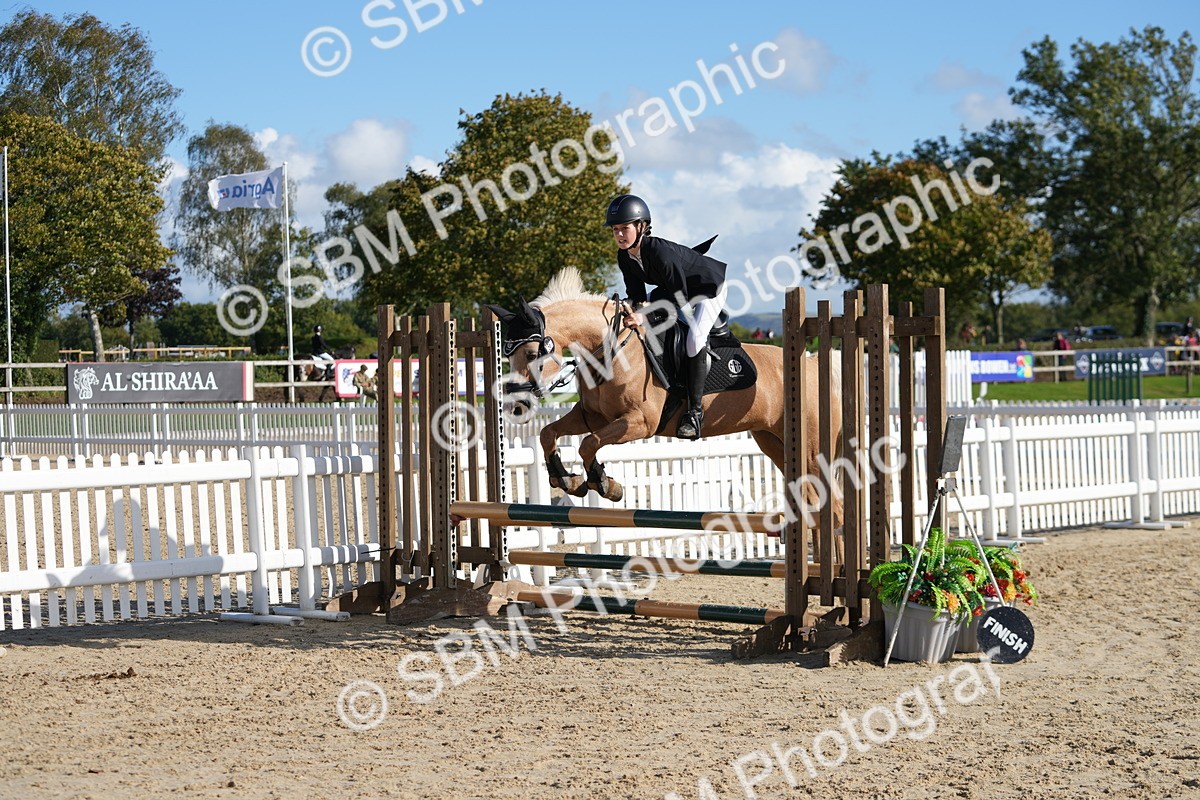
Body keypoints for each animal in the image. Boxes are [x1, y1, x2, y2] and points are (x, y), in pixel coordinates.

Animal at [486, 268, 842, 525]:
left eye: (533, 353)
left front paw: (604, 484)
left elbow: (588, 443)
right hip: (774, 442)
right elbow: (549, 434)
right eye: (506, 354)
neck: (612, 350)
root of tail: (812, 364)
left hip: (811, 451)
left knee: (835, 506)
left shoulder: (639, 422)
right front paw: (567, 479)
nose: (516, 406)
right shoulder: (592, 416)